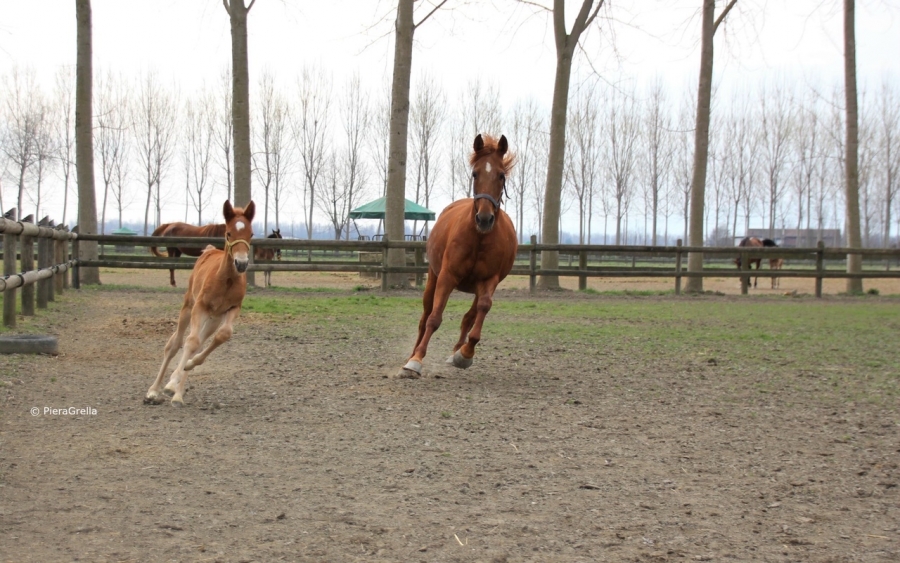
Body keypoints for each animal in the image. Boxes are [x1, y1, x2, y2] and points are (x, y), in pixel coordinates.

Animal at [145, 200, 255, 408]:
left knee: (200, 341)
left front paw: (184, 372)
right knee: (175, 344)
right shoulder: (200, 307)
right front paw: (170, 382)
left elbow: (222, 336)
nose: (241, 264)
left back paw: (178, 394)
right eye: (229, 233)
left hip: (213, 319)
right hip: (189, 307)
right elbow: (190, 342)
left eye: (251, 234)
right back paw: (154, 390)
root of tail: (210, 249)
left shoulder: (232, 309)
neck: (227, 279)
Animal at [398, 133, 516, 378]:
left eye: (501, 175)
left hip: (478, 287)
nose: (484, 218)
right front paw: (415, 360)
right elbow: (434, 319)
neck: (478, 238)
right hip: (433, 279)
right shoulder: (447, 276)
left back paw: (457, 351)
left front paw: (465, 353)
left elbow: (481, 311)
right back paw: (413, 353)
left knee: (470, 315)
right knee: (425, 317)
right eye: (475, 173)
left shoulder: (489, 281)